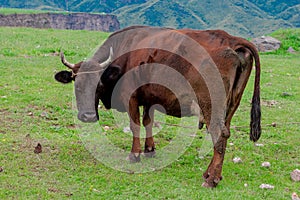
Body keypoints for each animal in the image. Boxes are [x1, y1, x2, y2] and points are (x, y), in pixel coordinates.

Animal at [54, 25, 260, 188]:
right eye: (77, 84)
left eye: (99, 84)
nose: (88, 116)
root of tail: (231, 40)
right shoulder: (150, 98)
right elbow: (148, 122)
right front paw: (149, 150)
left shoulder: (131, 97)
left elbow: (135, 125)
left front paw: (134, 155)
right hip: (231, 106)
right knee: (224, 134)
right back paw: (209, 174)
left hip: (211, 105)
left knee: (219, 134)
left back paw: (211, 180)